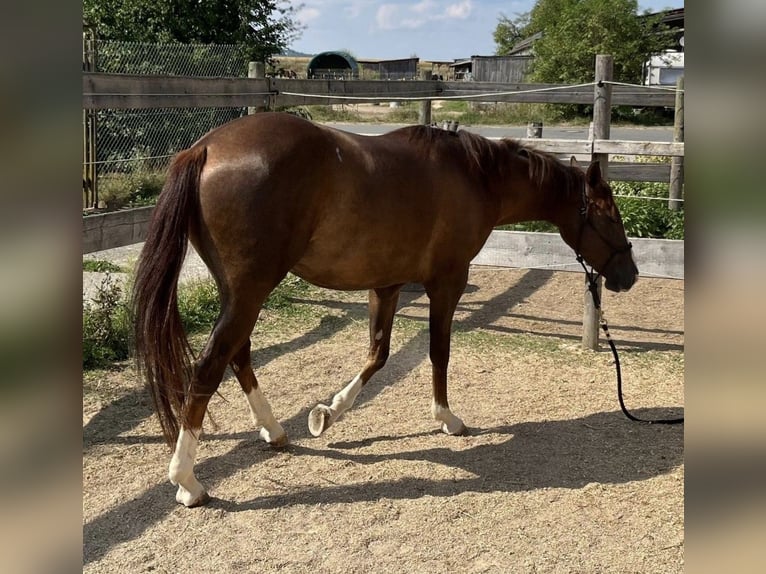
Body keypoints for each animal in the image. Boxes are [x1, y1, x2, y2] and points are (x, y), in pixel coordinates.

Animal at [130, 112, 636, 508]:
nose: (628, 274)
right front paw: (447, 419)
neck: (475, 176)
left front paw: (327, 413)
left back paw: (273, 431)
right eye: (610, 214)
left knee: (238, 356)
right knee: (209, 369)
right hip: (249, 292)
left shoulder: (387, 284)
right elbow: (438, 352)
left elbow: (378, 355)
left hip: (239, 294)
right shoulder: (447, 283)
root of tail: (205, 148)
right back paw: (188, 481)